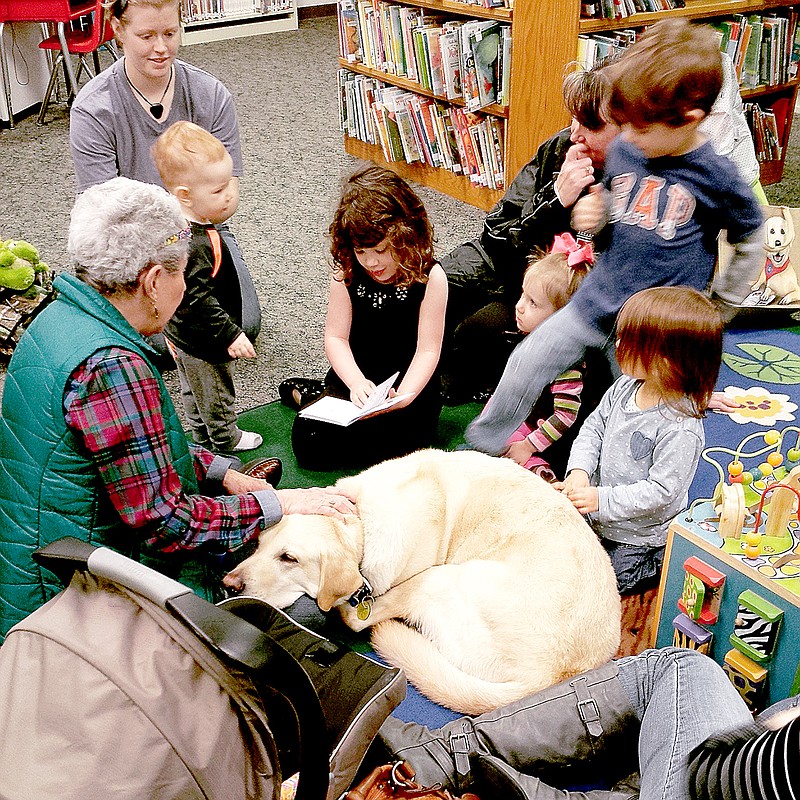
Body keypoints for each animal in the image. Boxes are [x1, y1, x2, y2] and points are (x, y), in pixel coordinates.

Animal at [222, 446, 620, 716]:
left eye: (289, 558)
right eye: (258, 544)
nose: (229, 584)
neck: (362, 519)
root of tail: (552, 677)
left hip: (439, 578)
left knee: (359, 618)